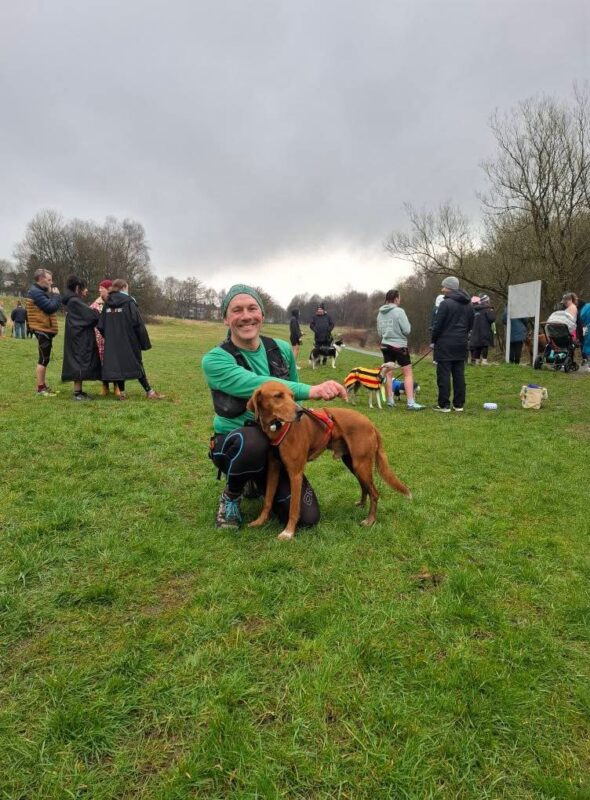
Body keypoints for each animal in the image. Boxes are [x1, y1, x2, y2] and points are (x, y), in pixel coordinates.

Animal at [246, 381, 411, 540]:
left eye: (292, 396)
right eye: (278, 396)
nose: (300, 412)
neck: (277, 427)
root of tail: (370, 423)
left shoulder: (295, 474)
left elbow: (293, 508)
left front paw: (289, 532)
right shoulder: (273, 470)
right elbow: (268, 500)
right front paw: (260, 521)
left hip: (361, 465)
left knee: (375, 493)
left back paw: (370, 520)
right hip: (354, 465)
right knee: (365, 487)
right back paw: (362, 504)